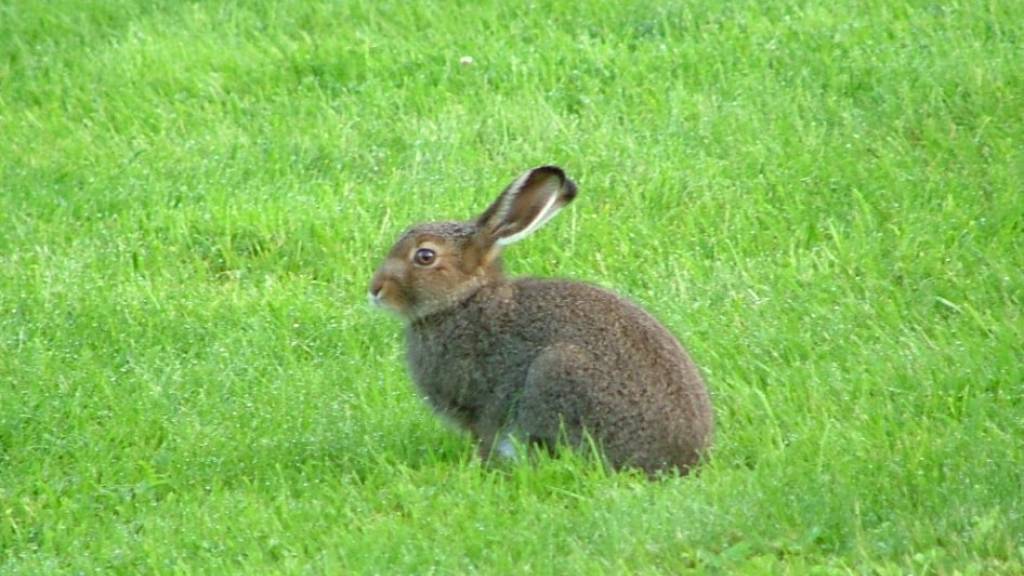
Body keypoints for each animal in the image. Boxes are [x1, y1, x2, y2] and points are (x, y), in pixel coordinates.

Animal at [368, 166, 713, 475]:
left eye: (425, 256)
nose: (374, 290)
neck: (463, 298)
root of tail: (683, 461)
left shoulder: (479, 406)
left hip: (556, 374)